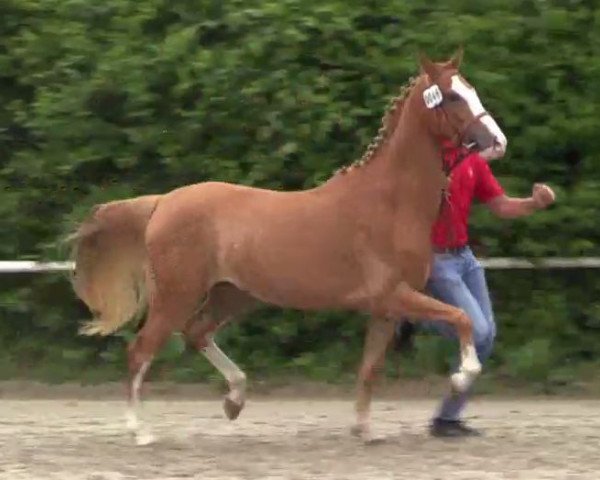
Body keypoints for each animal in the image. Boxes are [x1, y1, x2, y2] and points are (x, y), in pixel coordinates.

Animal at [67, 50, 506, 444]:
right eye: (452, 96)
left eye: (471, 89)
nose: (497, 142)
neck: (390, 203)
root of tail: (161, 203)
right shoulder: (394, 295)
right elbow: (462, 319)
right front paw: (461, 376)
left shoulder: (386, 309)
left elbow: (370, 369)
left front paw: (364, 431)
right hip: (176, 295)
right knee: (140, 351)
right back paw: (141, 432)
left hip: (232, 295)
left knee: (196, 333)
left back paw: (235, 400)